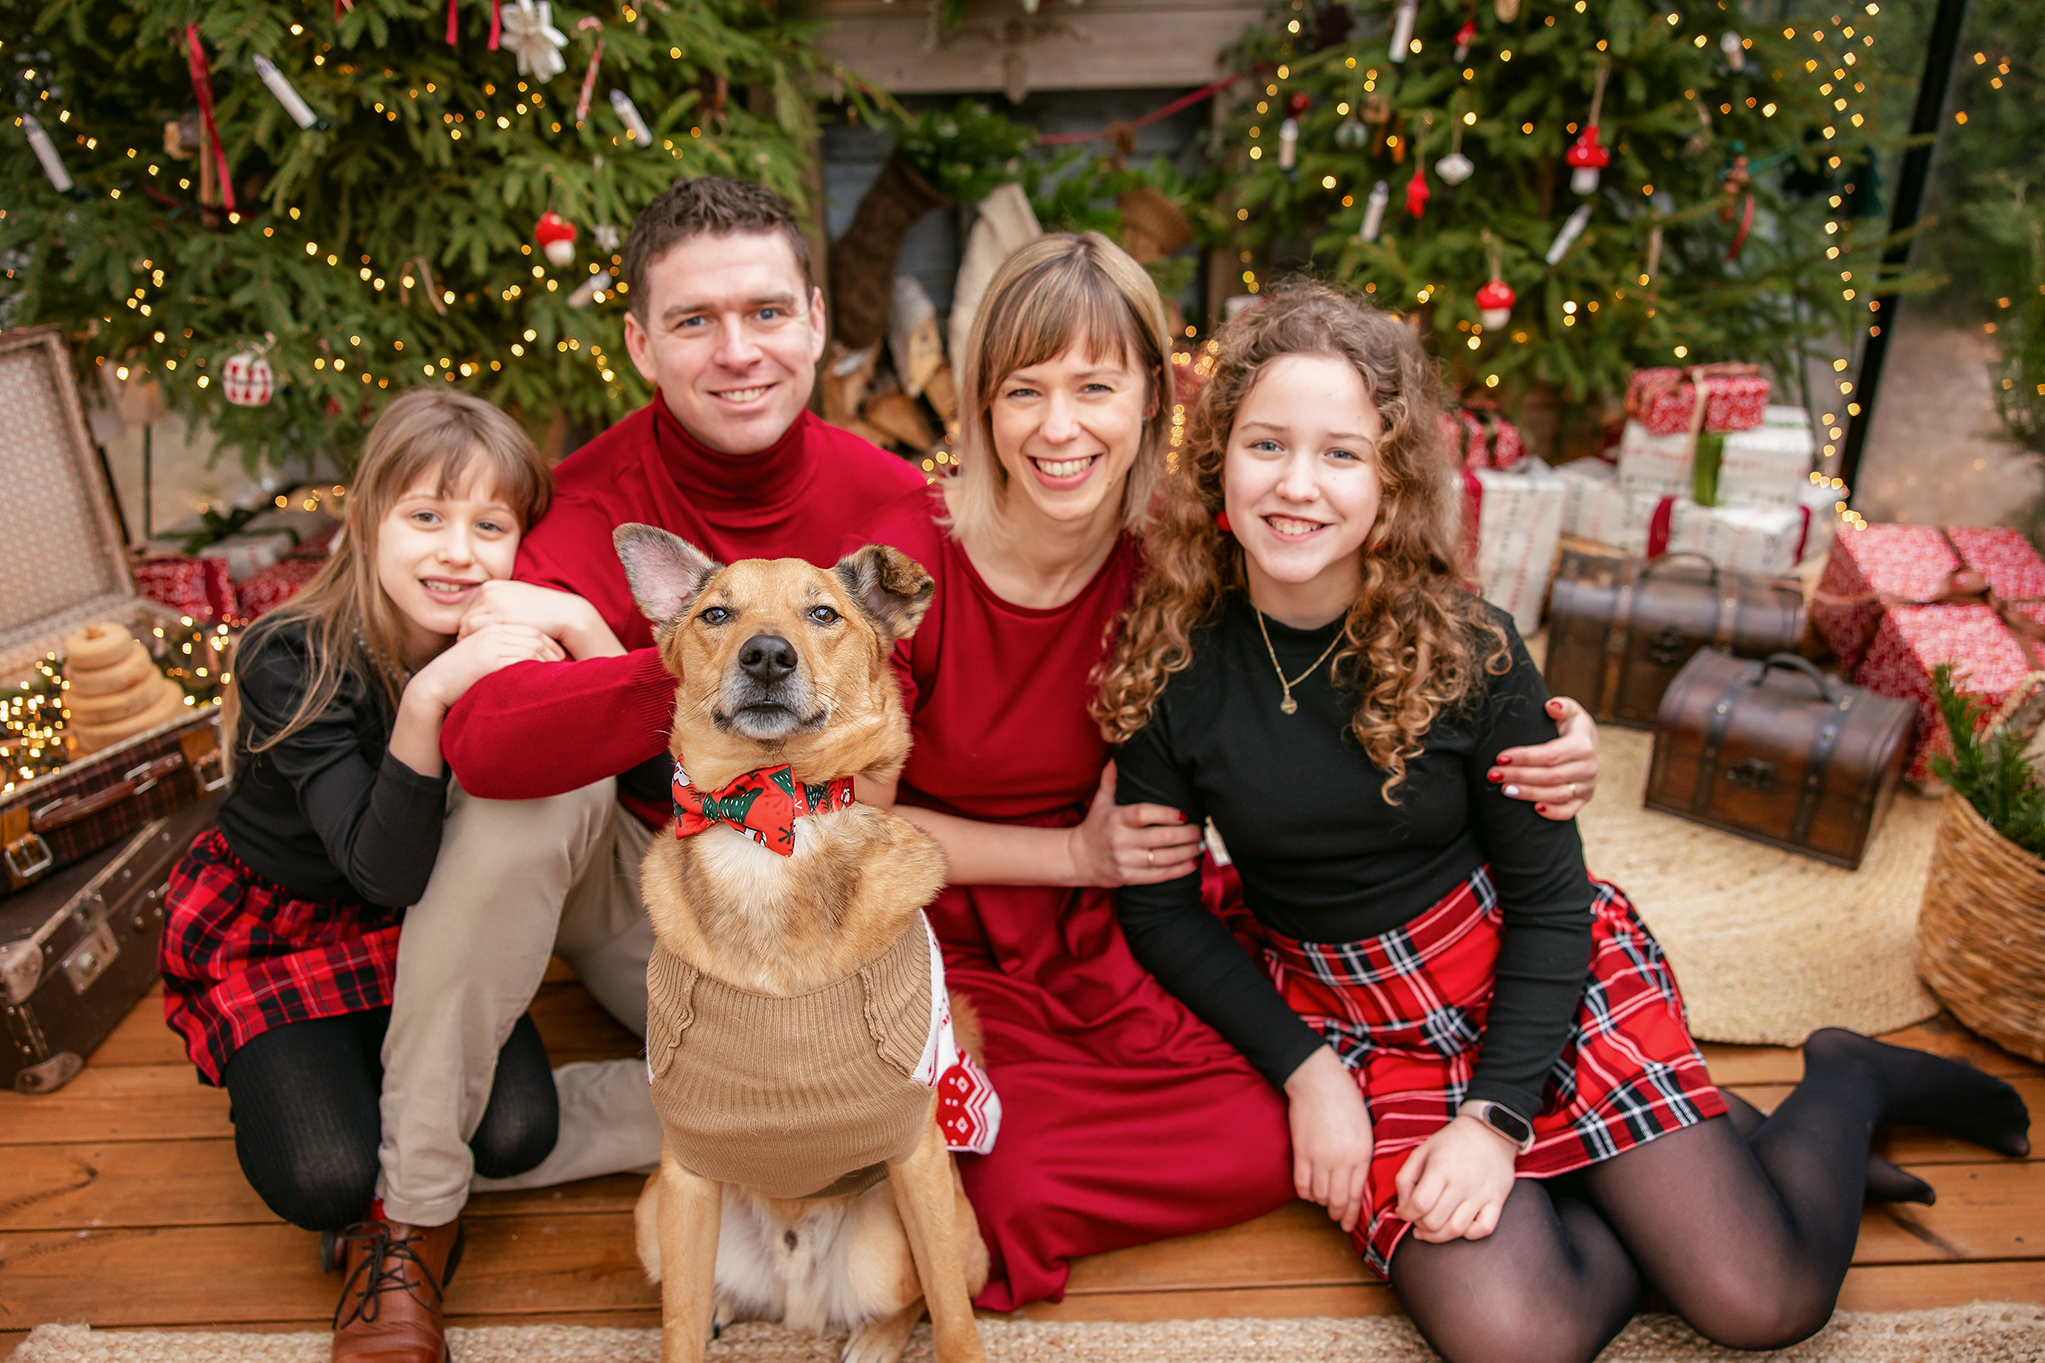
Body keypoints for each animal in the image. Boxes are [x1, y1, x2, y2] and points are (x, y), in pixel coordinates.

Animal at [613, 524, 989, 1363]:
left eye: (822, 614)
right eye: (717, 614)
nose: (765, 655)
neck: (768, 819)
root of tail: (797, 1298)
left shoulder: (916, 1153)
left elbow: (953, 1317)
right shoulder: (687, 1173)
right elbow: (677, 1324)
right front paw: (693, 1324)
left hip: (914, 1235)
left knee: (914, 1294)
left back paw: (873, 1337)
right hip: (653, 1216)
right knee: (702, 1289)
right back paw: (729, 1306)